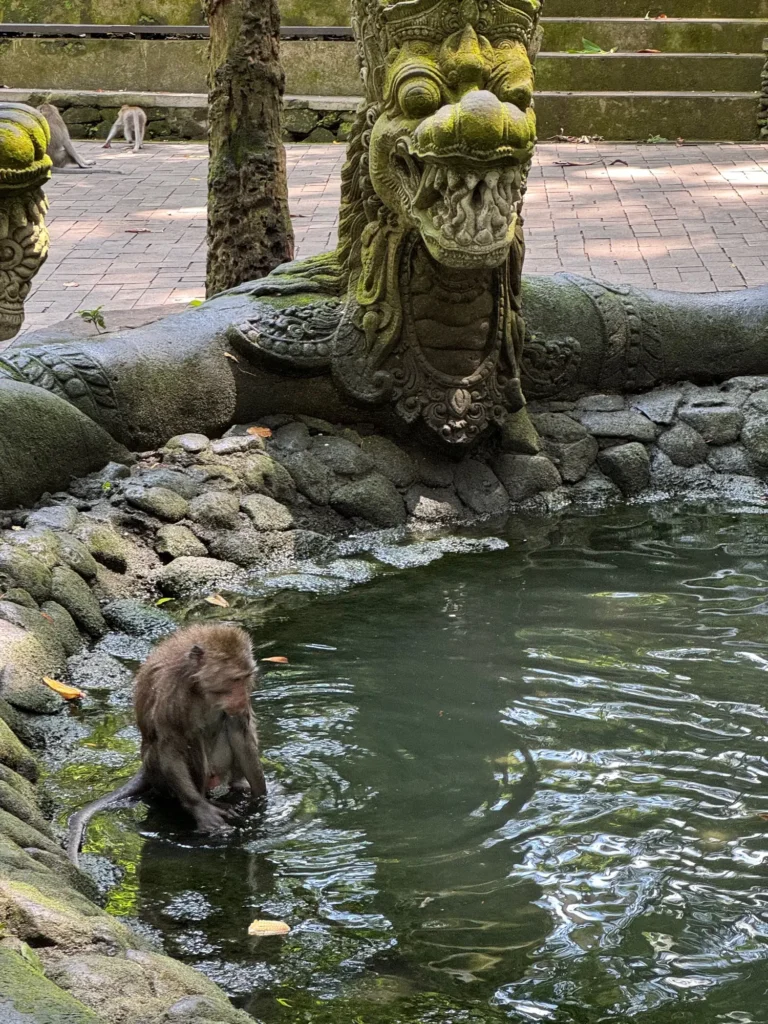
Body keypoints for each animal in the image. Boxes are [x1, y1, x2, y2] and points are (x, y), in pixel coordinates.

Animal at [67, 624, 267, 866]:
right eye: (234, 680)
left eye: (246, 678)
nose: (242, 698)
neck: (200, 688)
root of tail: (145, 767)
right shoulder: (172, 695)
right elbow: (170, 747)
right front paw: (201, 809)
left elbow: (240, 733)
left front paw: (260, 803)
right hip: (161, 774)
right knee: (189, 743)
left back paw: (238, 786)